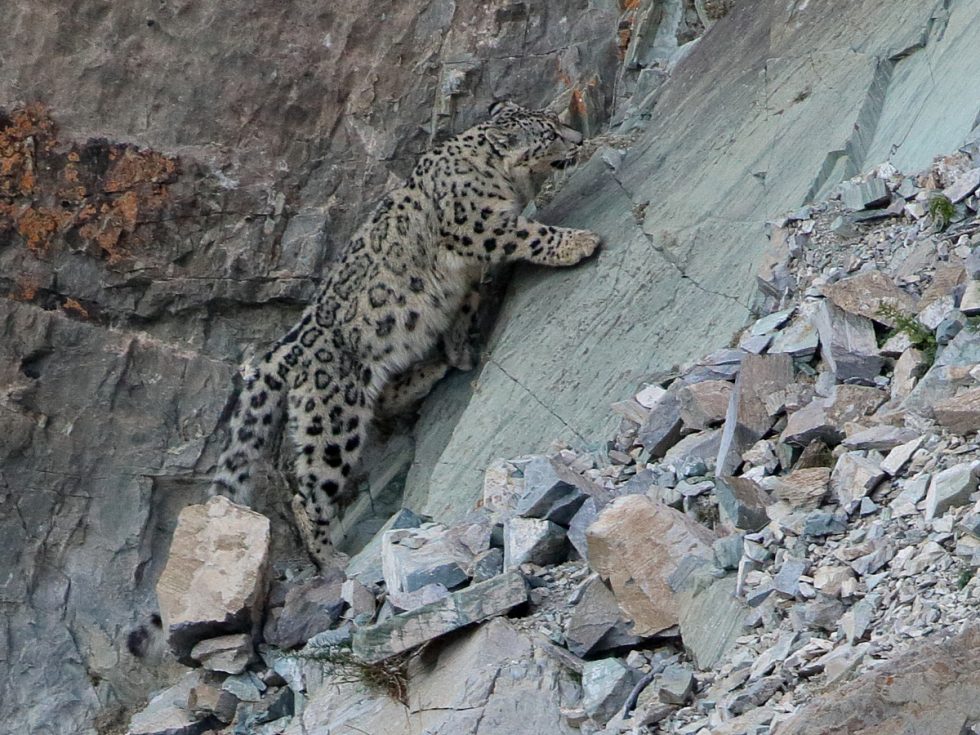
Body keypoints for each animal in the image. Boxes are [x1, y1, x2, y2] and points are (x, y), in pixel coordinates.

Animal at [212, 100, 601, 567]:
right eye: (549, 135)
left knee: (381, 402)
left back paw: (428, 372)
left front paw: (458, 350)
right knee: (308, 491)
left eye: (555, 123)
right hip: (332, 421)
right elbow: (532, 233)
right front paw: (578, 242)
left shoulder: (466, 275)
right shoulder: (482, 224)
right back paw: (331, 558)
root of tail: (288, 346)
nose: (579, 139)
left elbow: (463, 308)